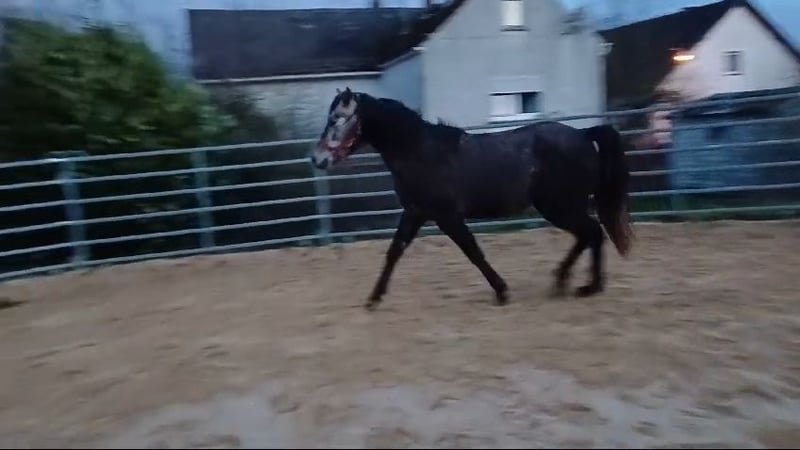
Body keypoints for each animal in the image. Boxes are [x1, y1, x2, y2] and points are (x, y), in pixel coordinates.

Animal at [311, 87, 634, 310]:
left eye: (336, 119)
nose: (317, 159)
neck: (420, 152)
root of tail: (584, 136)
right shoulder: (415, 212)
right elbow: (394, 251)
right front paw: (373, 299)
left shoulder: (447, 216)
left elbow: (473, 251)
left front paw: (502, 291)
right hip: (560, 207)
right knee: (587, 235)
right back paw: (566, 281)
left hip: (560, 206)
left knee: (592, 232)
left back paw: (586, 286)